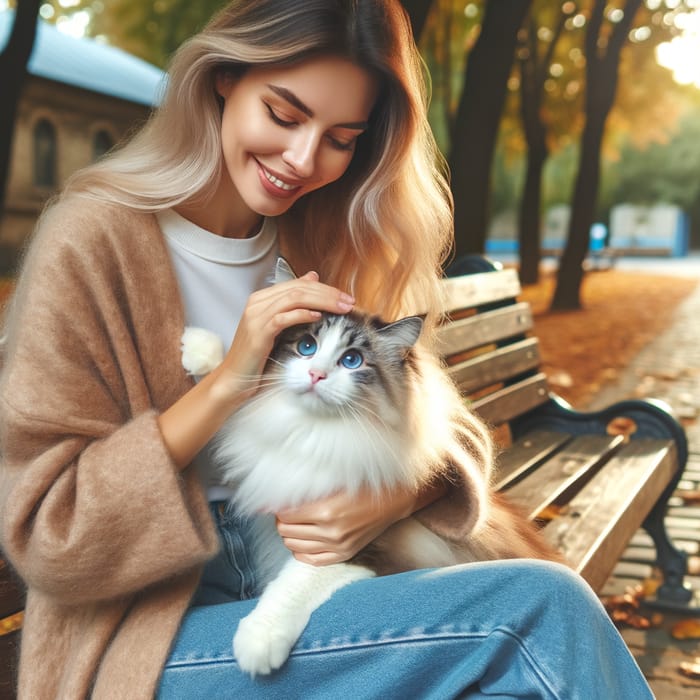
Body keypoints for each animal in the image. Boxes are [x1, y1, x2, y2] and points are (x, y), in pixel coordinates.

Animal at [182, 260, 564, 676]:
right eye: (306, 347)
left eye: (352, 361)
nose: (315, 375)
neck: (310, 433)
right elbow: (236, 389)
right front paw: (201, 347)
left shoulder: (348, 545)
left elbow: (294, 582)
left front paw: (257, 641)